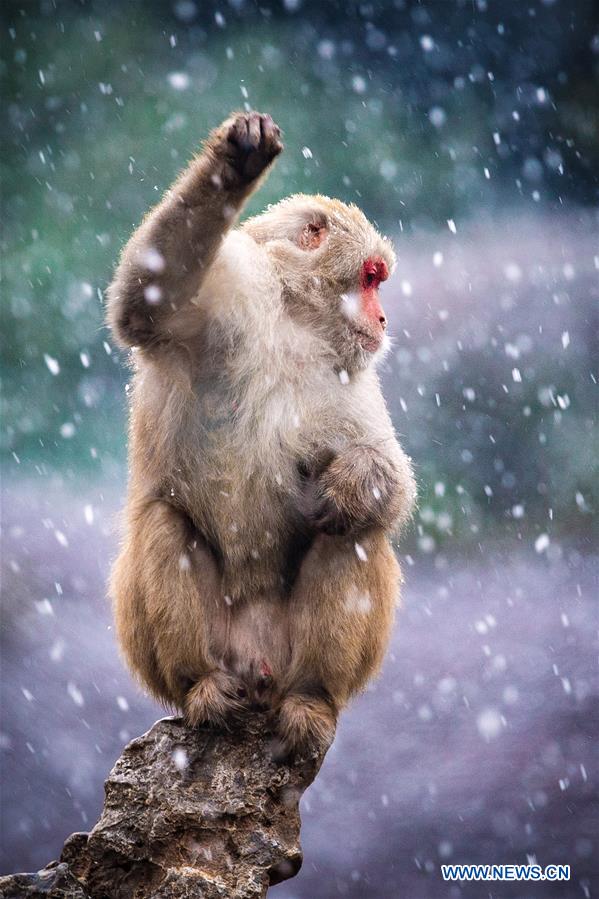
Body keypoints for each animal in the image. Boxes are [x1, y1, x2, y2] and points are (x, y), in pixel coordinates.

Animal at [106, 112, 418, 756]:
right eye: (371, 277)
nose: (383, 319)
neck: (294, 320)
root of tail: (257, 668)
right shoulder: (232, 292)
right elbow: (145, 307)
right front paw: (234, 164)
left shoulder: (349, 373)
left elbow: (387, 478)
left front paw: (351, 483)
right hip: (192, 650)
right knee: (164, 522)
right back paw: (202, 688)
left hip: (293, 654)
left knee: (354, 532)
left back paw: (311, 700)